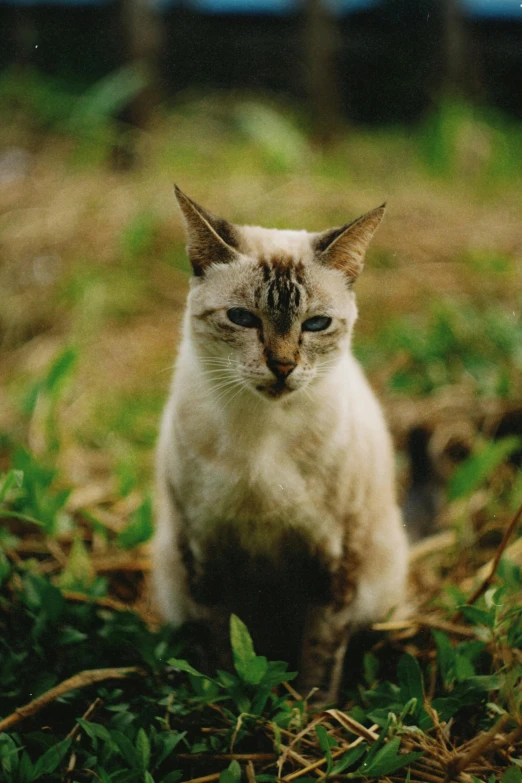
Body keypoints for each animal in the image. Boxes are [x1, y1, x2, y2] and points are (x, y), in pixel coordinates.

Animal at [152, 188, 408, 704]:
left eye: (316, 324)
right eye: (242, 319)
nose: (283, 366)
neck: (261, 435)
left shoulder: (333, 563)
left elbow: (319, 658)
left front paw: (310, 714)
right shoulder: (206, 557)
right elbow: (222, 648)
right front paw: (226, 706)